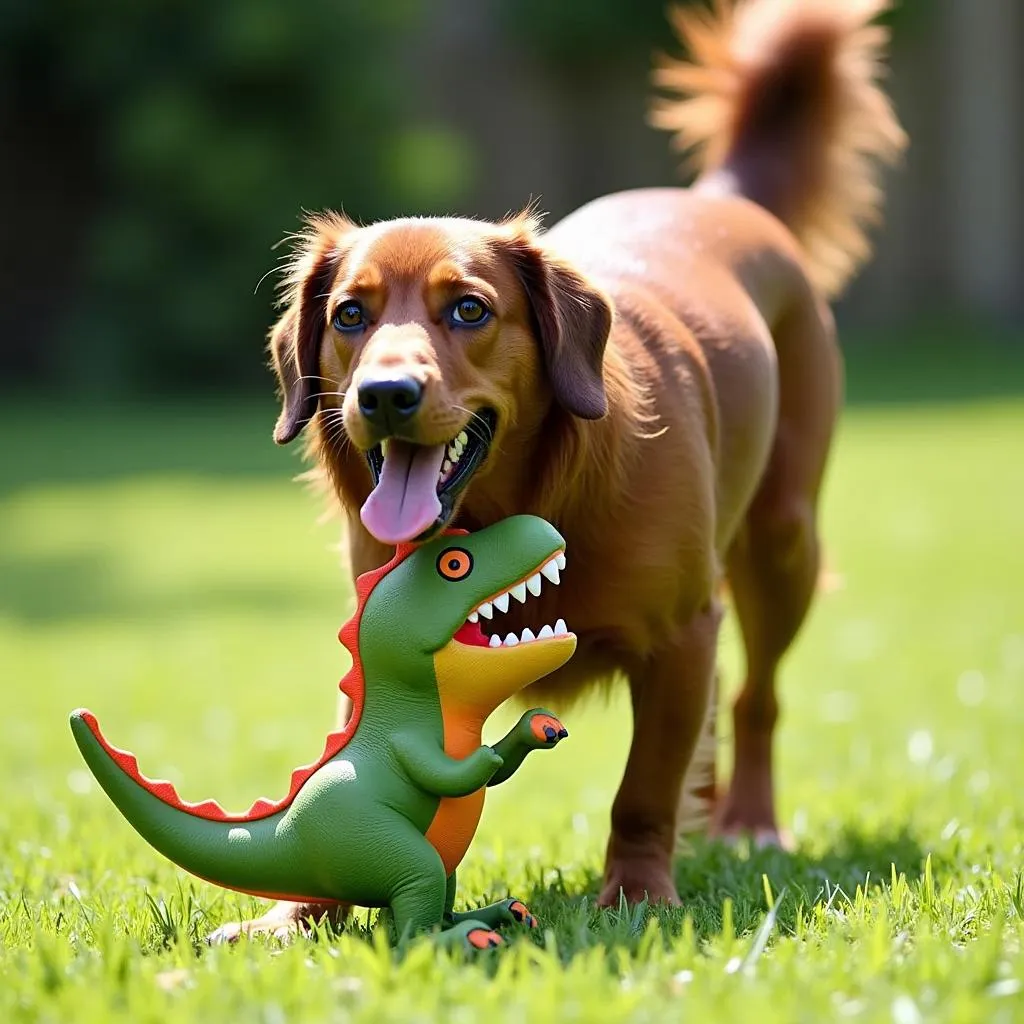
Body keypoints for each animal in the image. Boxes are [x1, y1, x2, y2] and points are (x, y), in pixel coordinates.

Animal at [207, 0, 905, 942]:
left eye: (469, 309)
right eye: (350, 314)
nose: (384, 394)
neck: (521, 503)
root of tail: (718, 202)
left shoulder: (682, 633)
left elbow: (643, 790)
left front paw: (638, 895)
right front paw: (292, 913)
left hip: (782, 545)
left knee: (754, 700)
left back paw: (747, 823)